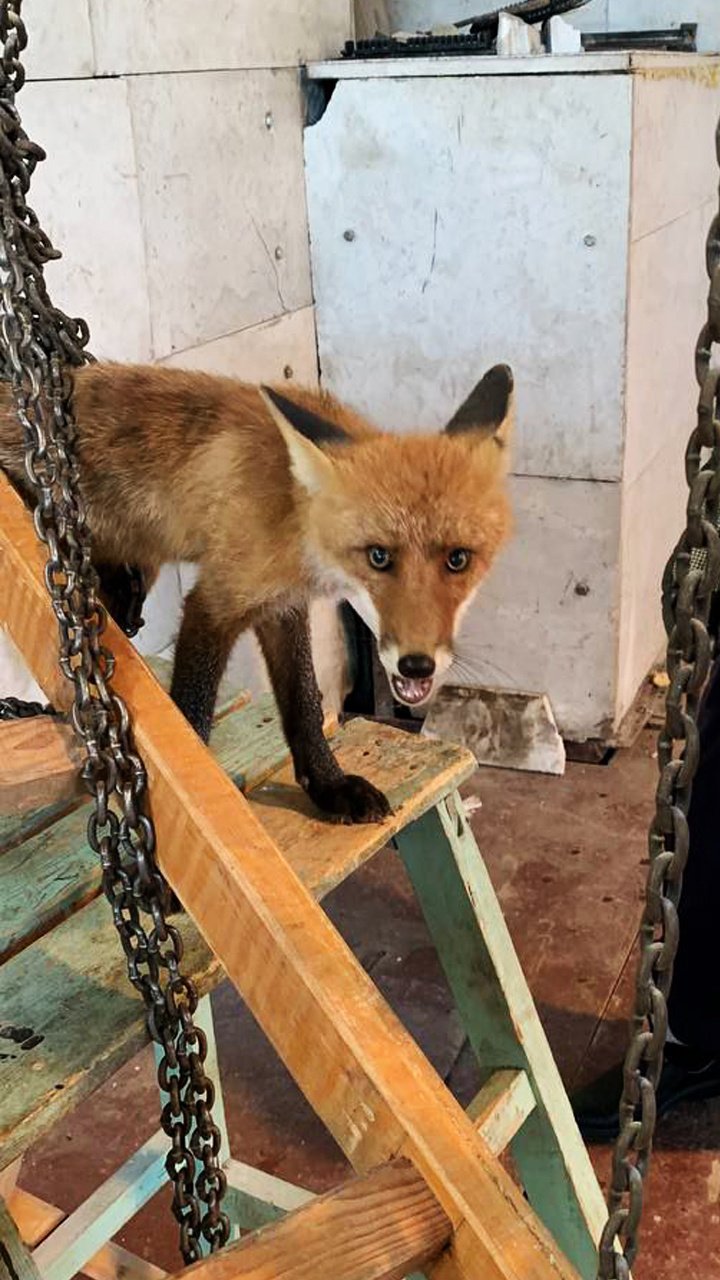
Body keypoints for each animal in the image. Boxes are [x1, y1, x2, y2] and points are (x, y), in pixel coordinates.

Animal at [1, 360, 515, 824]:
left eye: (458, 559)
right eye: (378, 557)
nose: (416, 664)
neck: (293, 511)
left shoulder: (282, 606)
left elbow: (304, 704)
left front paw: (328, 787)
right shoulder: (216, 600)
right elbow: (192, 719)